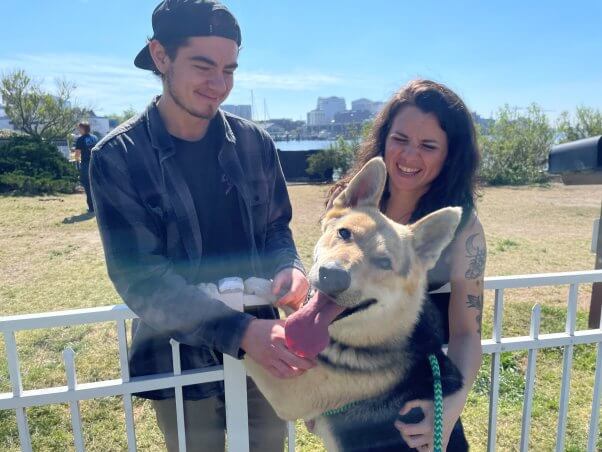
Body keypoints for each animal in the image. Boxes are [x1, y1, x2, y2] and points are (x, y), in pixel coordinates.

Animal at [244, 158, 468, 448]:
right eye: (344, 233)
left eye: (384, 263)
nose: (332, 275)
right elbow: (293, 302)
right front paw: (267, 286)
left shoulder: (288, 392)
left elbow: (250, 351)